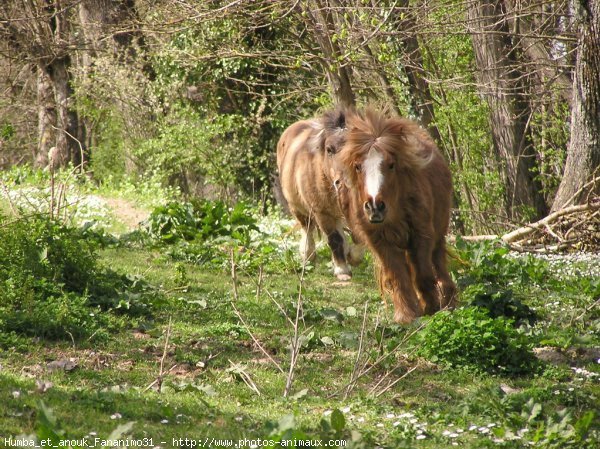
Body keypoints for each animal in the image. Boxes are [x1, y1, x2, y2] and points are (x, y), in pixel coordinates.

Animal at [276, 108, 360, 278]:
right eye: (329, 149)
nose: (343, 182)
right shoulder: (322, 212)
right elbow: (334, 238)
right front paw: (342, 270)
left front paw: (352, 257)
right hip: (299, 209)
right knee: (307, 229)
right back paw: (308, 257)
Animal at [336, 108, 458, 322]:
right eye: (358, 166)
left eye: (391, 164)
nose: (375, 206)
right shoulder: (381, 242)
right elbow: (398, 277)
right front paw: (406, 314)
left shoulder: (421, 235)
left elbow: (424, 274)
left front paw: (431, 306)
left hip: (438, 234)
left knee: (437, 263)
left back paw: (448, 299)